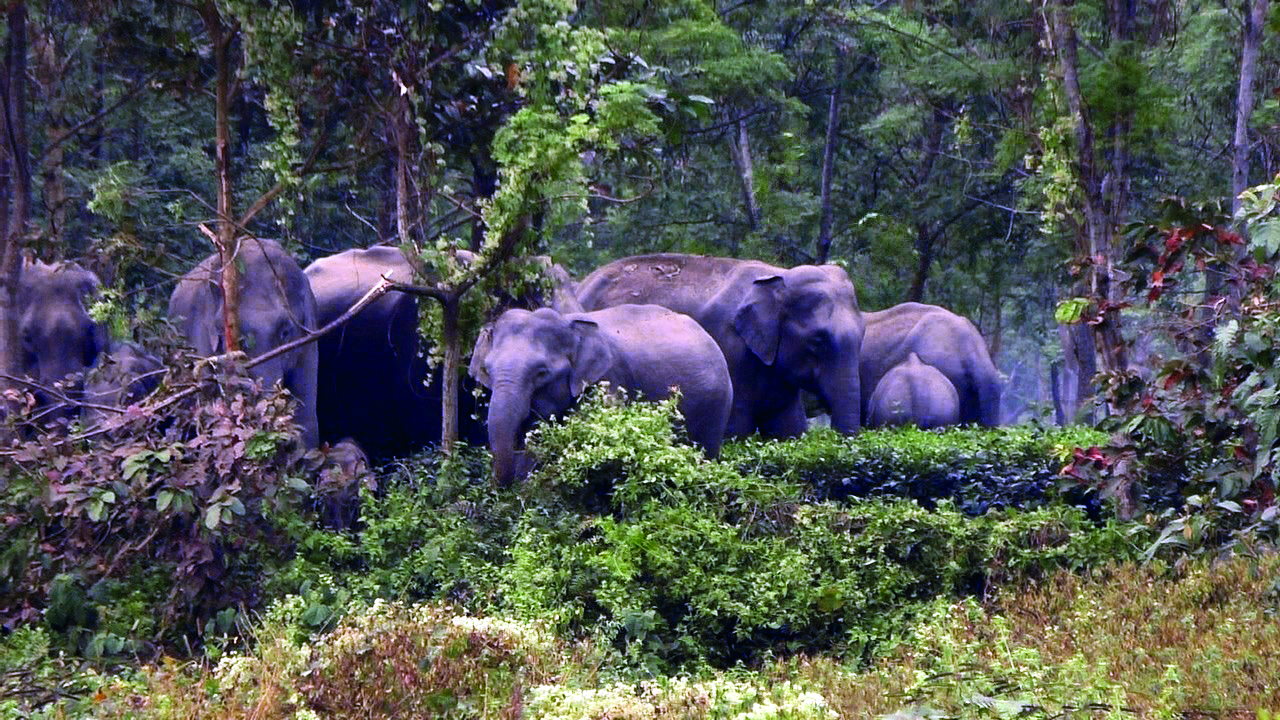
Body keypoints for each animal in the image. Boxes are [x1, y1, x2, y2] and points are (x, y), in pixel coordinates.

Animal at [575, 254, 864, 438]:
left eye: (862, 336)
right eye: (817, 341)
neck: (778, 276)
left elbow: (789, 426)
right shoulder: (732, 350)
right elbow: (737, 427)